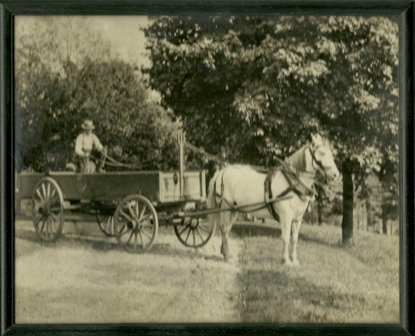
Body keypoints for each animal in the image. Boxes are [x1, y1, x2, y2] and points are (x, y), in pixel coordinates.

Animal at [208, 133, 342, 266]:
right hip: (226, 207)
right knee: (224, 228)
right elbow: (286, 237)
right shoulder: (286, 216)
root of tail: (222, 171)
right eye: (322, 153)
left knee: (226, 229)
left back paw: (225, 252)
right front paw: (286, 260)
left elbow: (294, 239)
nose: (336, 175)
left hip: (235, 209)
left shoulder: (298, 218)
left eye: (331, 153)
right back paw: (229, 256)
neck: (292, 183)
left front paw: (294, 261)